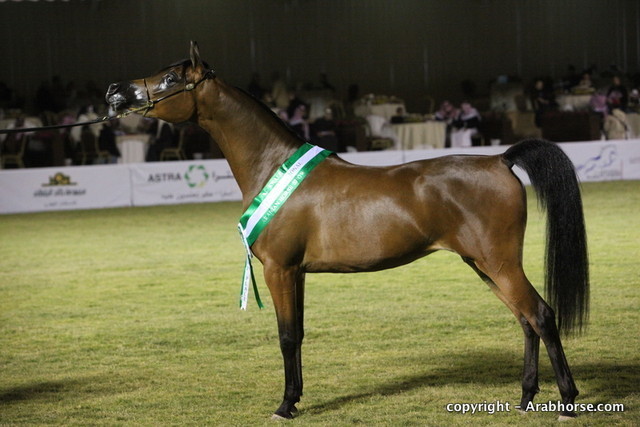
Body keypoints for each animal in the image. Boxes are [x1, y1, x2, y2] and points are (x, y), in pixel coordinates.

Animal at [106, 42, 589, 421]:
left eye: (170, 77)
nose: (115, 93)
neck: (272, 165)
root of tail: (500, 159)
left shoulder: (279, 269)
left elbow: (285, 336)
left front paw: (284, 406)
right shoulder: (297, 273)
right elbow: (299, 333)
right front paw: (296, 399)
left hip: (499, 262)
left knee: (541, 314)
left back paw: (566, 402)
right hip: (484, 265)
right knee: (525, 320)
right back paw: (526, 398)